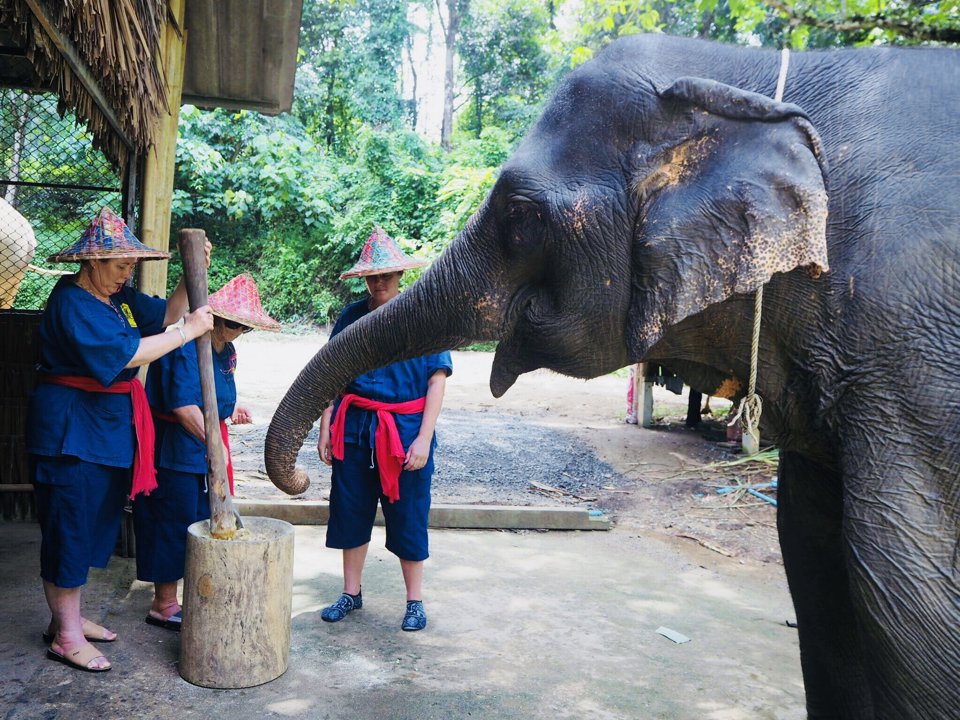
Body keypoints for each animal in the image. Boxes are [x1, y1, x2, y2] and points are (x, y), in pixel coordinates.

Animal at [265, 34, 959, 719]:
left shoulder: (911, 357)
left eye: (520, 216)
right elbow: (811, 553)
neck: (747, 73)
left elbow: (905, 594)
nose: (305, 476)